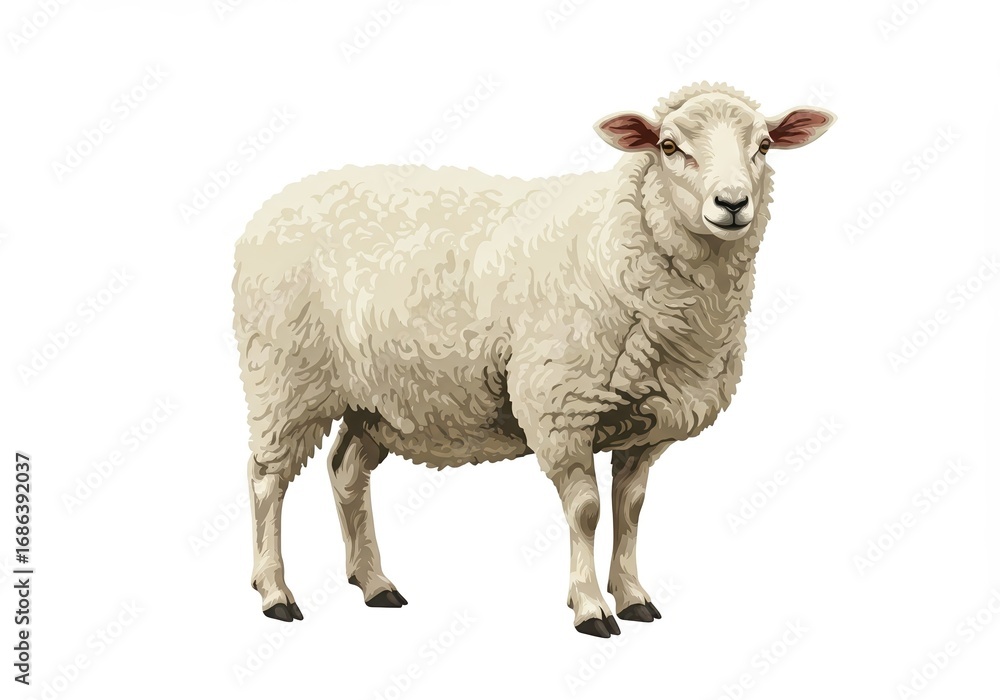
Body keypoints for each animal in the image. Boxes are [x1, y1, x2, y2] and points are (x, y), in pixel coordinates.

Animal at [233, 82, 835, 637]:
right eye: (668, 146)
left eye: (763, 146)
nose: (732, 204)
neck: (619, 241)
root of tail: (273, 205)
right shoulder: (562, 408)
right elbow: (588, 510)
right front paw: (591, 607)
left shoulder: (646, 423)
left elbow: (631, 508)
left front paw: (633, 596)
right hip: (285, 378)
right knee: (266, 479)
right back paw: (275, 592)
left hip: (375, 396)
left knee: (346, 472)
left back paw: (375, 583)